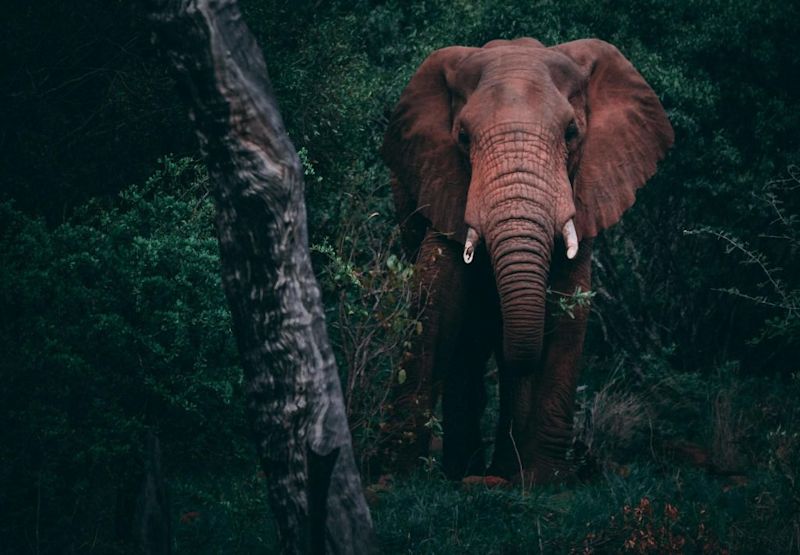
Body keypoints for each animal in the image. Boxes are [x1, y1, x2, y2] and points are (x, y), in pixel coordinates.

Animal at [382, 37, 676, 484]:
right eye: (462, 136)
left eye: (571, 133)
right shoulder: (441, 180)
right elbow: (437, 300)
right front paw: (395, 473)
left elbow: (570, 303)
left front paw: (544, 480)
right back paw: (467, 470)